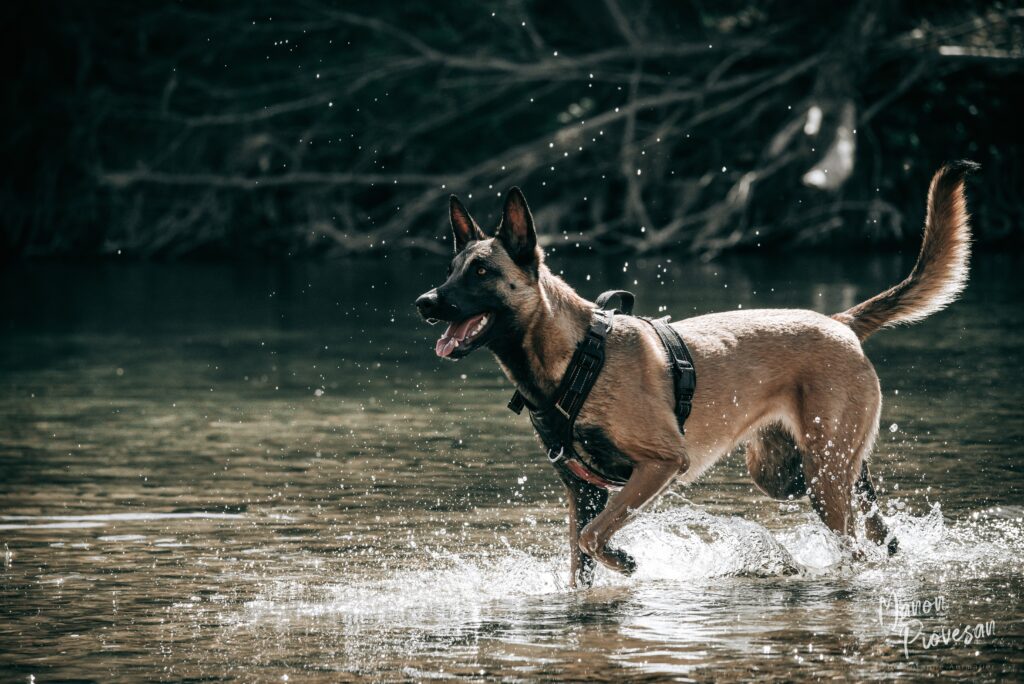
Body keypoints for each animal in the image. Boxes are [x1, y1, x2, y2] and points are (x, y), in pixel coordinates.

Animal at [413, 161, 974, 589]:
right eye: (449, 269)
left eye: (481, 272)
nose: (423, 302)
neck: (577, 358)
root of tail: (840, 322)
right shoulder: (583, 494)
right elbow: (580, 559)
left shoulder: (659, 464)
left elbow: (596, 537)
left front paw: (626, 561)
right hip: (793, 474)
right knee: (877, 527)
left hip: (821, 477)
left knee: (854, 546)